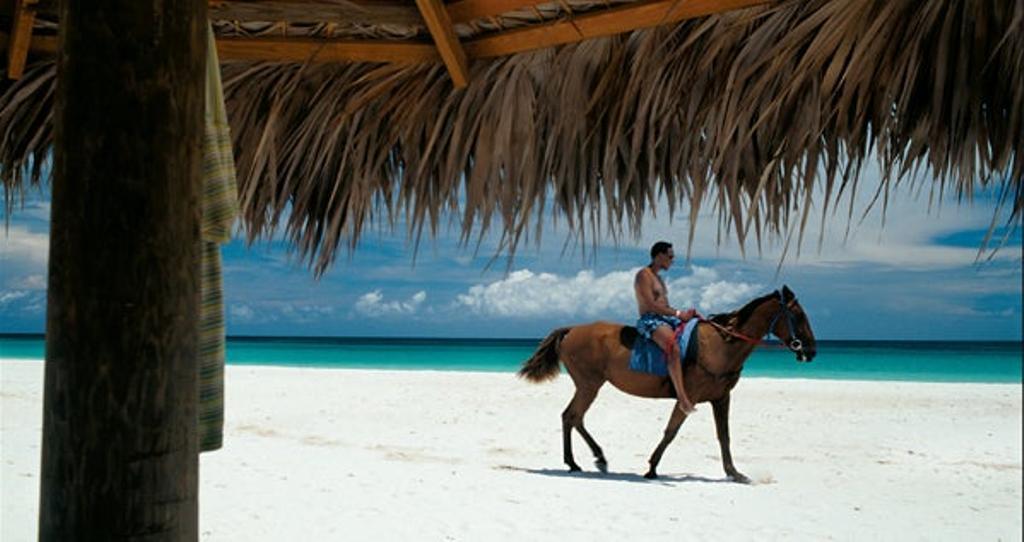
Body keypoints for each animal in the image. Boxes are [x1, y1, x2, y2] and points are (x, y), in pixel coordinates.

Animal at [518, 285, 817, 483]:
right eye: (799, 316)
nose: (811, 350)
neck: (721, 345)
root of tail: (571, 329)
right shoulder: (689, 398)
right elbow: (671, 432)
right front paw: (652, 468)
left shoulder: (721, 399)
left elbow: (724, 435)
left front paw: (733, 472)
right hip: (589, 385)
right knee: (571, 416)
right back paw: (577, 461)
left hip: (590, 385)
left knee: (573, 417)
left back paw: (592, 459)